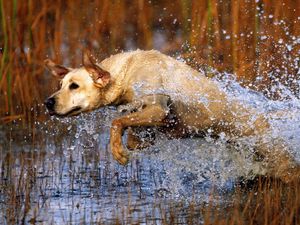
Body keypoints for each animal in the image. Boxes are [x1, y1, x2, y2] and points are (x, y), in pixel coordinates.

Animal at [45, 49, 300, 183]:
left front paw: (117, 151)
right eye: (60, 85)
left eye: (75, 86)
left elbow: (117, 122)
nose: (48, 102)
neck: (125, 73)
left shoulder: (159, 107)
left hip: (278, 158)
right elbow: (132, 131)